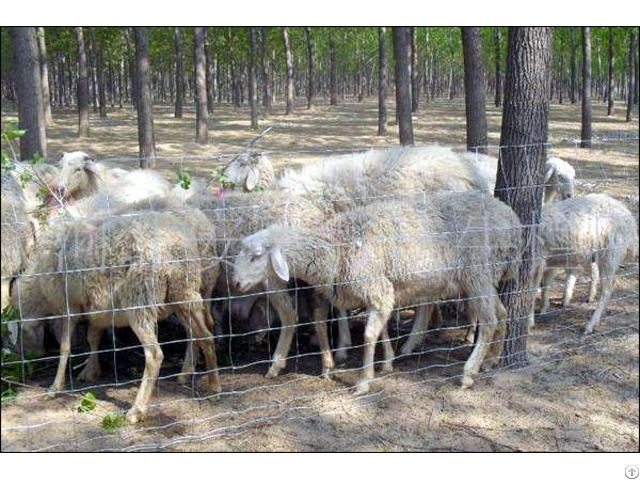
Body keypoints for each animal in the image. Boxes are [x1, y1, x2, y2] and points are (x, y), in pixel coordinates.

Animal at [15, 197, 220, 422]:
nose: (21, 355)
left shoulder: (68, 307)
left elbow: (65, 347)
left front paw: (55, 387)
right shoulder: (96, 310)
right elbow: (93, 338)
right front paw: (91, 371)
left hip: (141, 300)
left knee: (155, 354)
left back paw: (137, 410)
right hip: (184, 294)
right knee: (204, 336)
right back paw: (213, 386)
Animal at [232, 191, 524, 394]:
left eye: (256, 256)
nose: (234, 283)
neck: (335, 247)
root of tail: (512, 221)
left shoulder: (377, 288)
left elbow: (368, 335)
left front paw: (364, 380)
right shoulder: (377, 292)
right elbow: (372, 328)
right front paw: (382, 362)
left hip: (477, 274)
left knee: (489, 320)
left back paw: (469, 372)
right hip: (484, 277)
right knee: (502, 313)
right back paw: (492, 360)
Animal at [532, 192, 636, 334]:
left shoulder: (537, 262)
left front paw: (529, 322)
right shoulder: (548, 261)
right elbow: (546, 285)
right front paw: (543, 309)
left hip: (610, 255)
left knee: (607, 289)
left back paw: (590, 325)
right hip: (590, 254)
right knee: (594, 274)